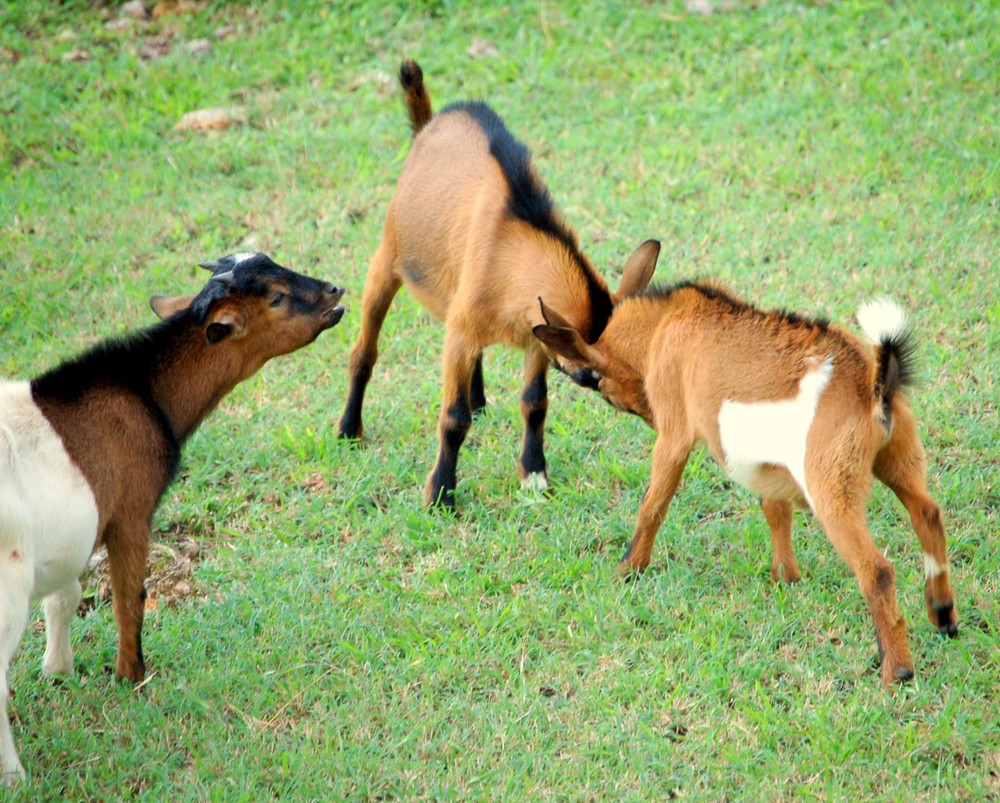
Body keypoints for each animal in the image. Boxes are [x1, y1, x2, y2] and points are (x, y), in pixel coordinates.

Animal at [0, 253, 346, 784]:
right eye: (276, 298)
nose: (334, 292)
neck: (143, 393)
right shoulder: (131, 513)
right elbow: (129, 598)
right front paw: (132, 678)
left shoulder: (72, 531)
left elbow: (65, 596)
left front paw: (58, 672)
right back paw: (16, 777)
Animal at [340, 59, 660, 508]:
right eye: (591, 377)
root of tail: (428, 125)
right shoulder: (462, 332)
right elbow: (453, 418)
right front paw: (441, 493)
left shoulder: (536, 334)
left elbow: (535, 402)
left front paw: (534, 474)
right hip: (387, 260)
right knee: (365, 348)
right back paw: (348, 429)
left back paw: (478, 398)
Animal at [536, 282, 956, 684]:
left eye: (600, 386)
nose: (644, 412)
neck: (667, 319)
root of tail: (874, 384)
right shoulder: (773, 466)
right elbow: (776, 511)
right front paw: (786, 578)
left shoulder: (674, 434)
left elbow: (653, 504)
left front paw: (628, 569)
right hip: (899, 457)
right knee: (928, 514)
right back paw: (943, 615)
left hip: (831, 488)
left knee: (877, 570)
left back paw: (897, 671)